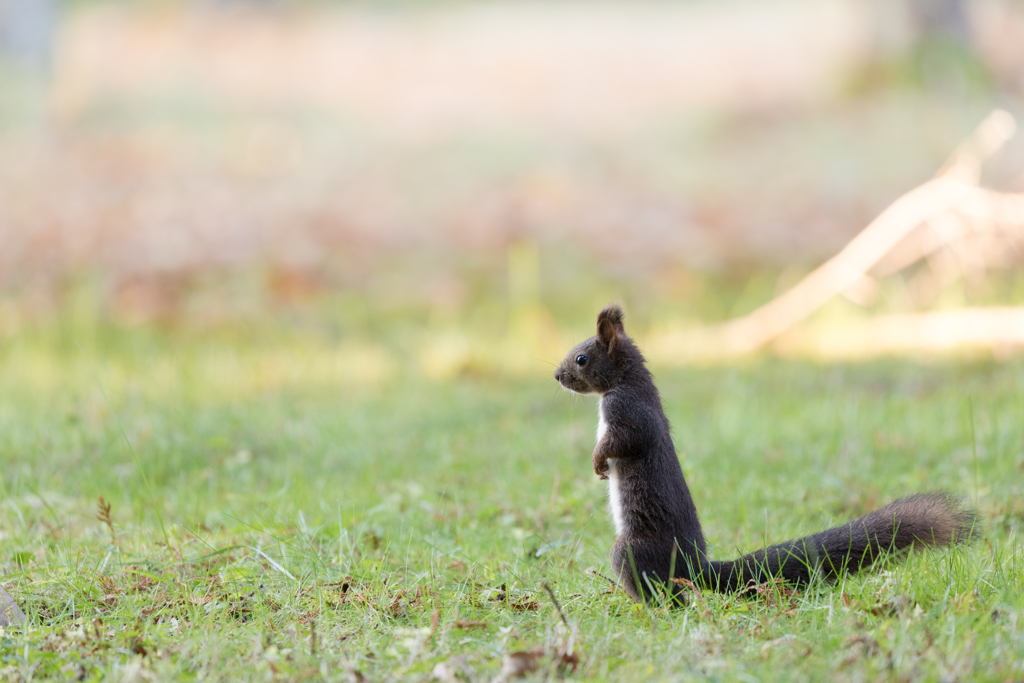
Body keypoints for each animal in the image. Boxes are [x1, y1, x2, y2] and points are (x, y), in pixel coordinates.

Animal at [557, 305, 978, 602]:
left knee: (669, 596)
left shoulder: (628, 411)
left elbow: (624, 441)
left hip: (631, 550)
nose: (557, 377)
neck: (627, 379)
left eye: (581, 358)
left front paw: (597, 461)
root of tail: (697, 567)